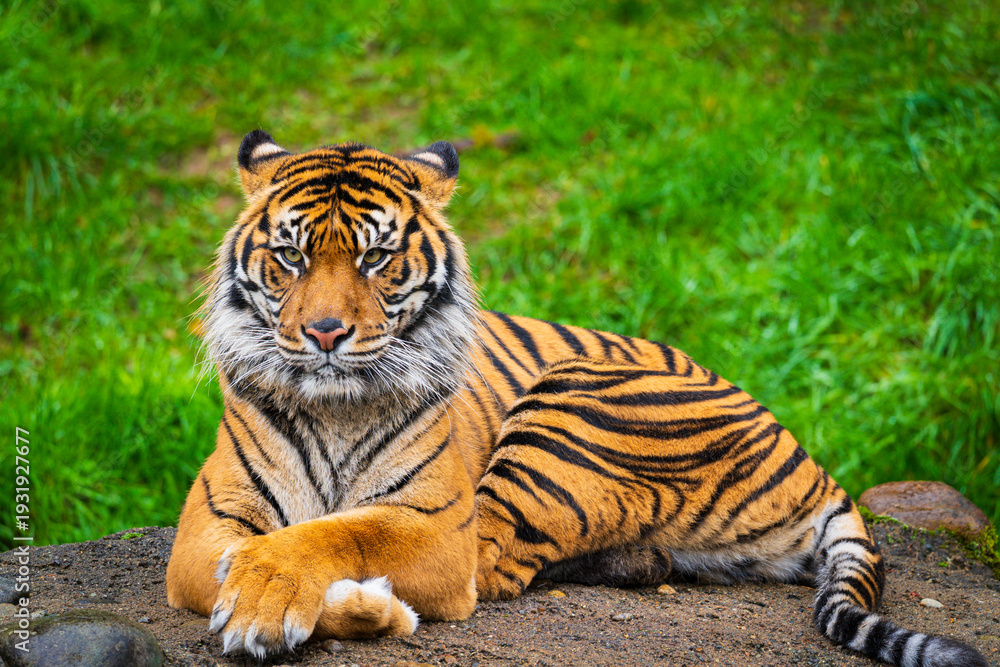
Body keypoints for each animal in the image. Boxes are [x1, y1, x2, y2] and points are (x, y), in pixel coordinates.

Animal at [165, 130, 986, 667]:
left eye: (376, 257)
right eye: (290, 255)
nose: (326, 332)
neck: (336, 408)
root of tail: (812, 461)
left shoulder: (437, 525)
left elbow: (339, 533)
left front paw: (275, 598)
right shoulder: (207, 526)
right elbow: (255, 547)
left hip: (570, 401)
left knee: (495, 567)